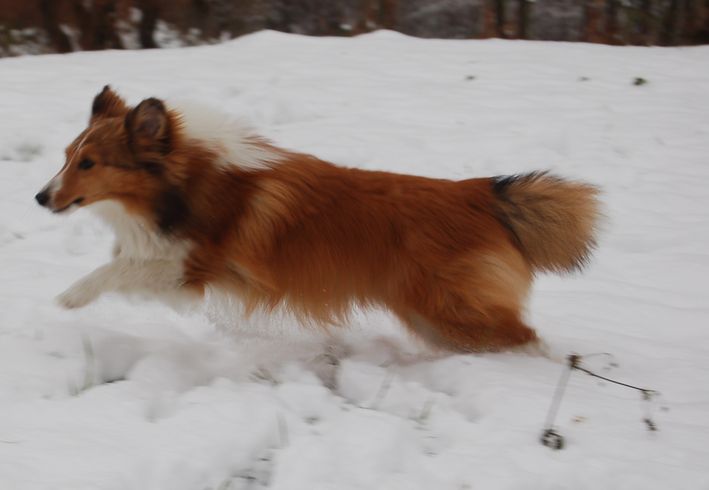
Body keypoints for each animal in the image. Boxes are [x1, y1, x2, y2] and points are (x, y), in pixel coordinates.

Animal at [35, 86, 600, 353]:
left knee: (527, 339)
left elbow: (117, 268)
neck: (184, 181)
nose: (40, 197)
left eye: (89, 163)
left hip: (451, 309)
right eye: (67, 156)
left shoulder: (193, 268)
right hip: (432, 316)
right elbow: (124, 260)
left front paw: (69, 297)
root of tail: (483, 193)